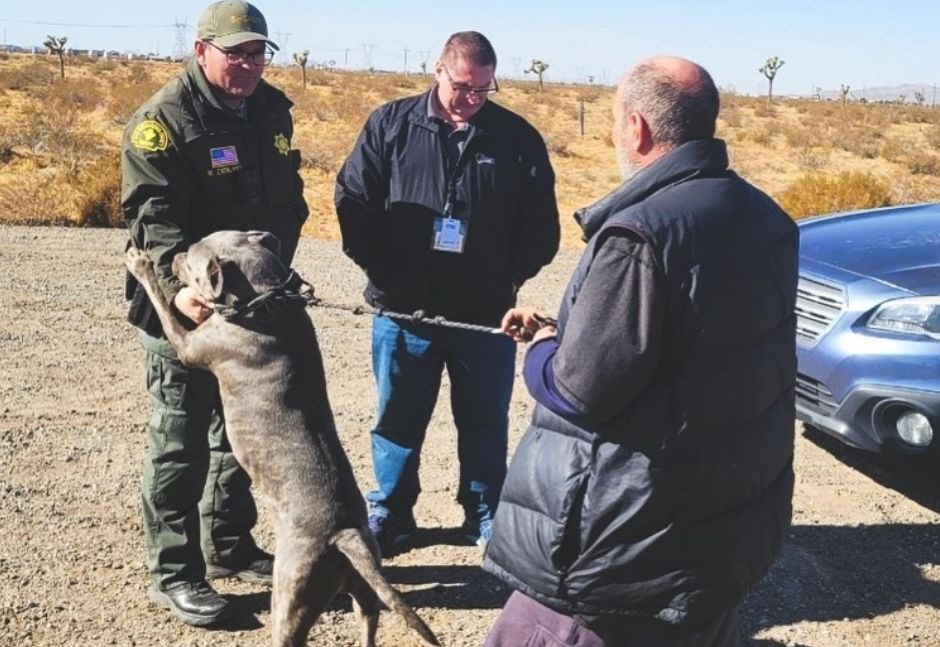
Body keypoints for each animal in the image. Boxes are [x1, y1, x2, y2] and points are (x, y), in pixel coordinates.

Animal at [122, 233, 440, 647]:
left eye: (191, 258)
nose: (172, 257)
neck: (264, 304)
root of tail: (345, 535)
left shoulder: (191, 345)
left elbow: (164, 306)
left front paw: (140, 263)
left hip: (291, 595)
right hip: (365, 589)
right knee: (369, 621)